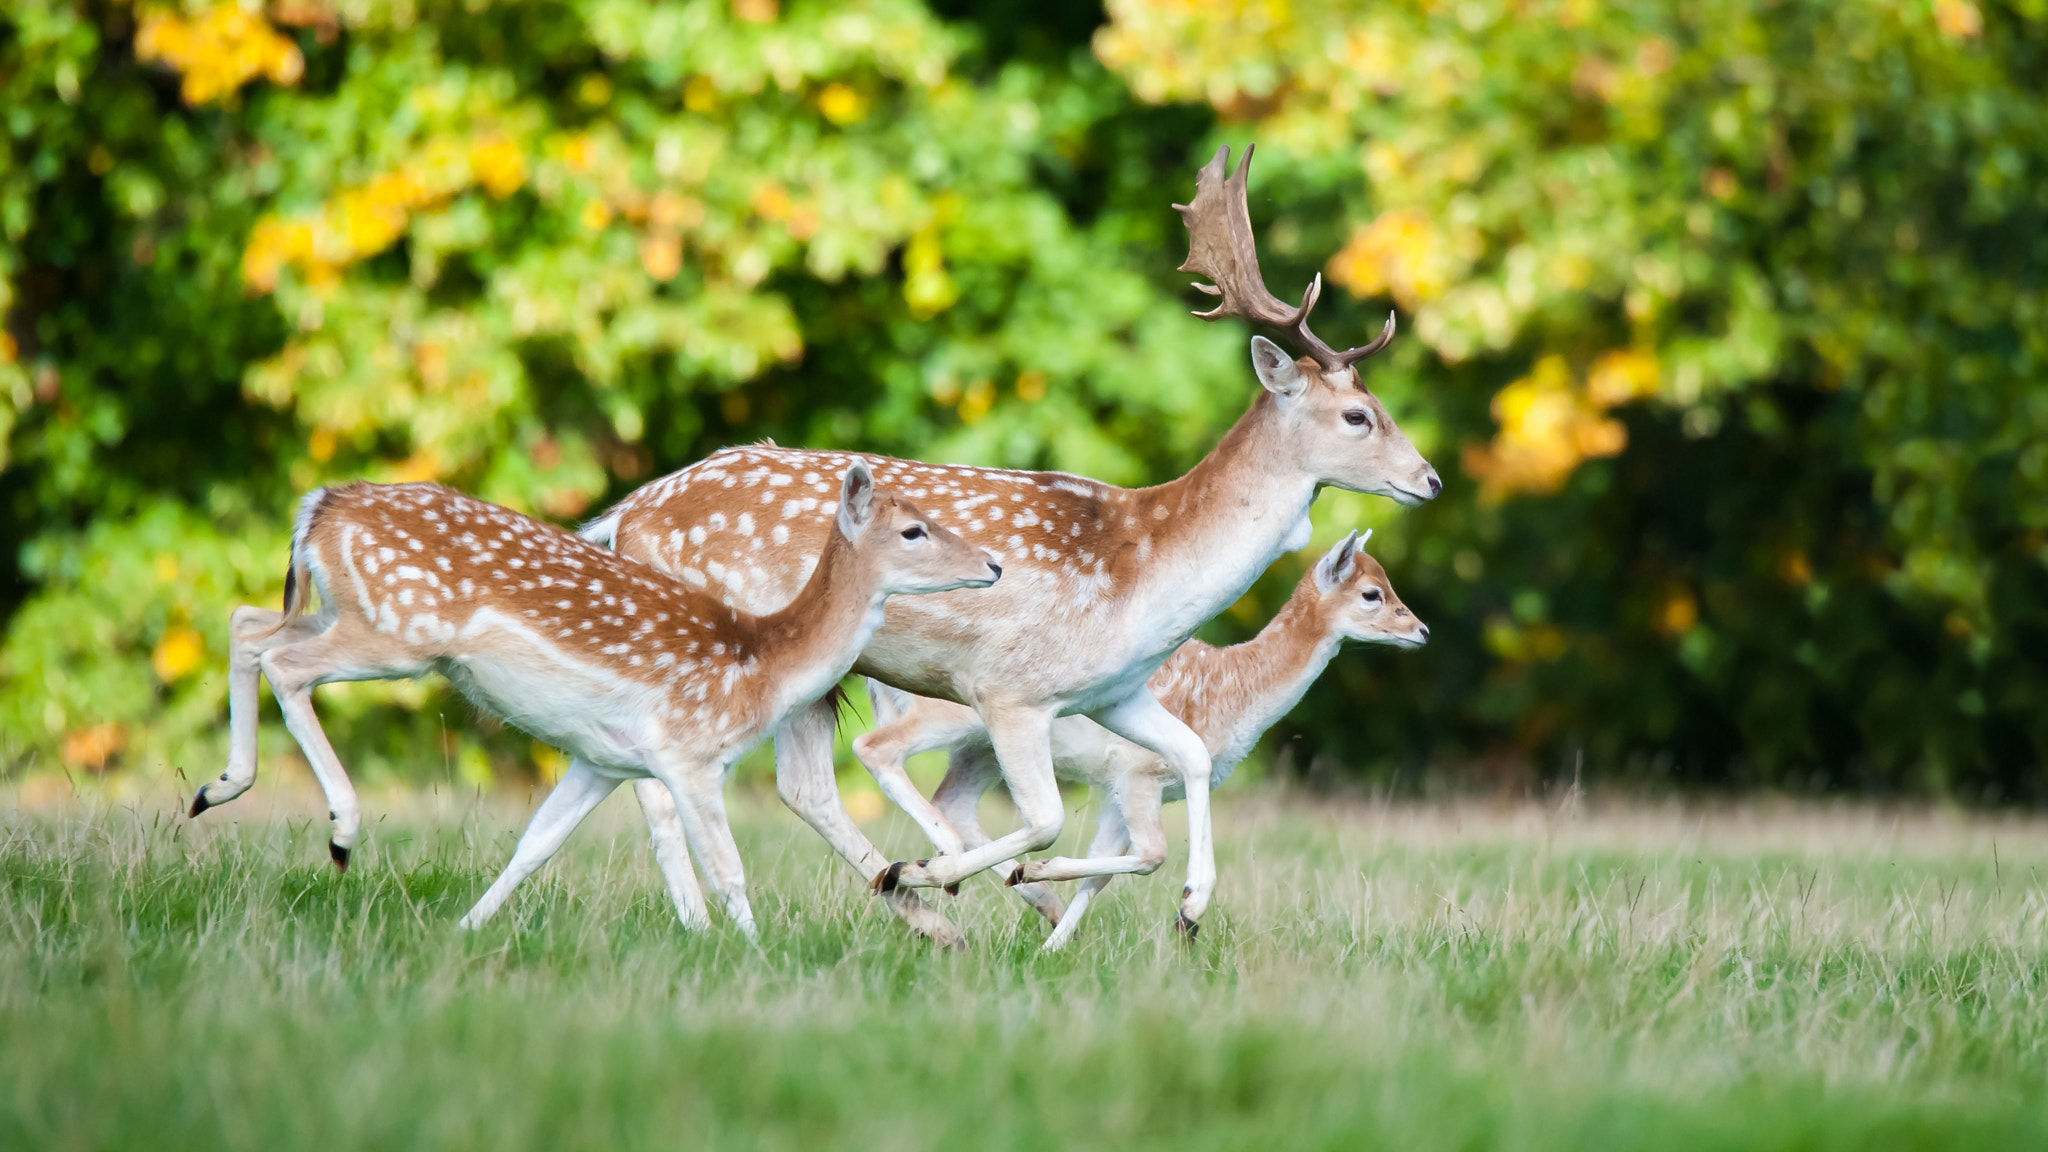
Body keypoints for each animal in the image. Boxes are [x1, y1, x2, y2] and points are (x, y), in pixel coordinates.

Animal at [183, 469, 1002, 939]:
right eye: (915, 530)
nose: (993, 563)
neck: (763, 664)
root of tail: (319, 505)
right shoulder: (687, 751)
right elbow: (730, 866)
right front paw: (753, 954)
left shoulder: (604, 758)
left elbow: (535, 843)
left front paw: (465, 930)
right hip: (398, 631)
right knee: (284, 663)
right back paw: (340, 830)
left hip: (343, 610)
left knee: (248, 625)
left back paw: (214, 789)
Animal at [854, 530, 1426, 949]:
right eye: (1372, 593)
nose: (1421, 631)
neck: (1235, 692)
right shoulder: (1138, 771)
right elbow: (1151, 854)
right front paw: (1183, 913)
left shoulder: (1118, 789)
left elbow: (1101, 875)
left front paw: (1051, 947)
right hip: (950, 713)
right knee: (875, 748)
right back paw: (923, 868)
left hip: (982, 747)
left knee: (955, 798)